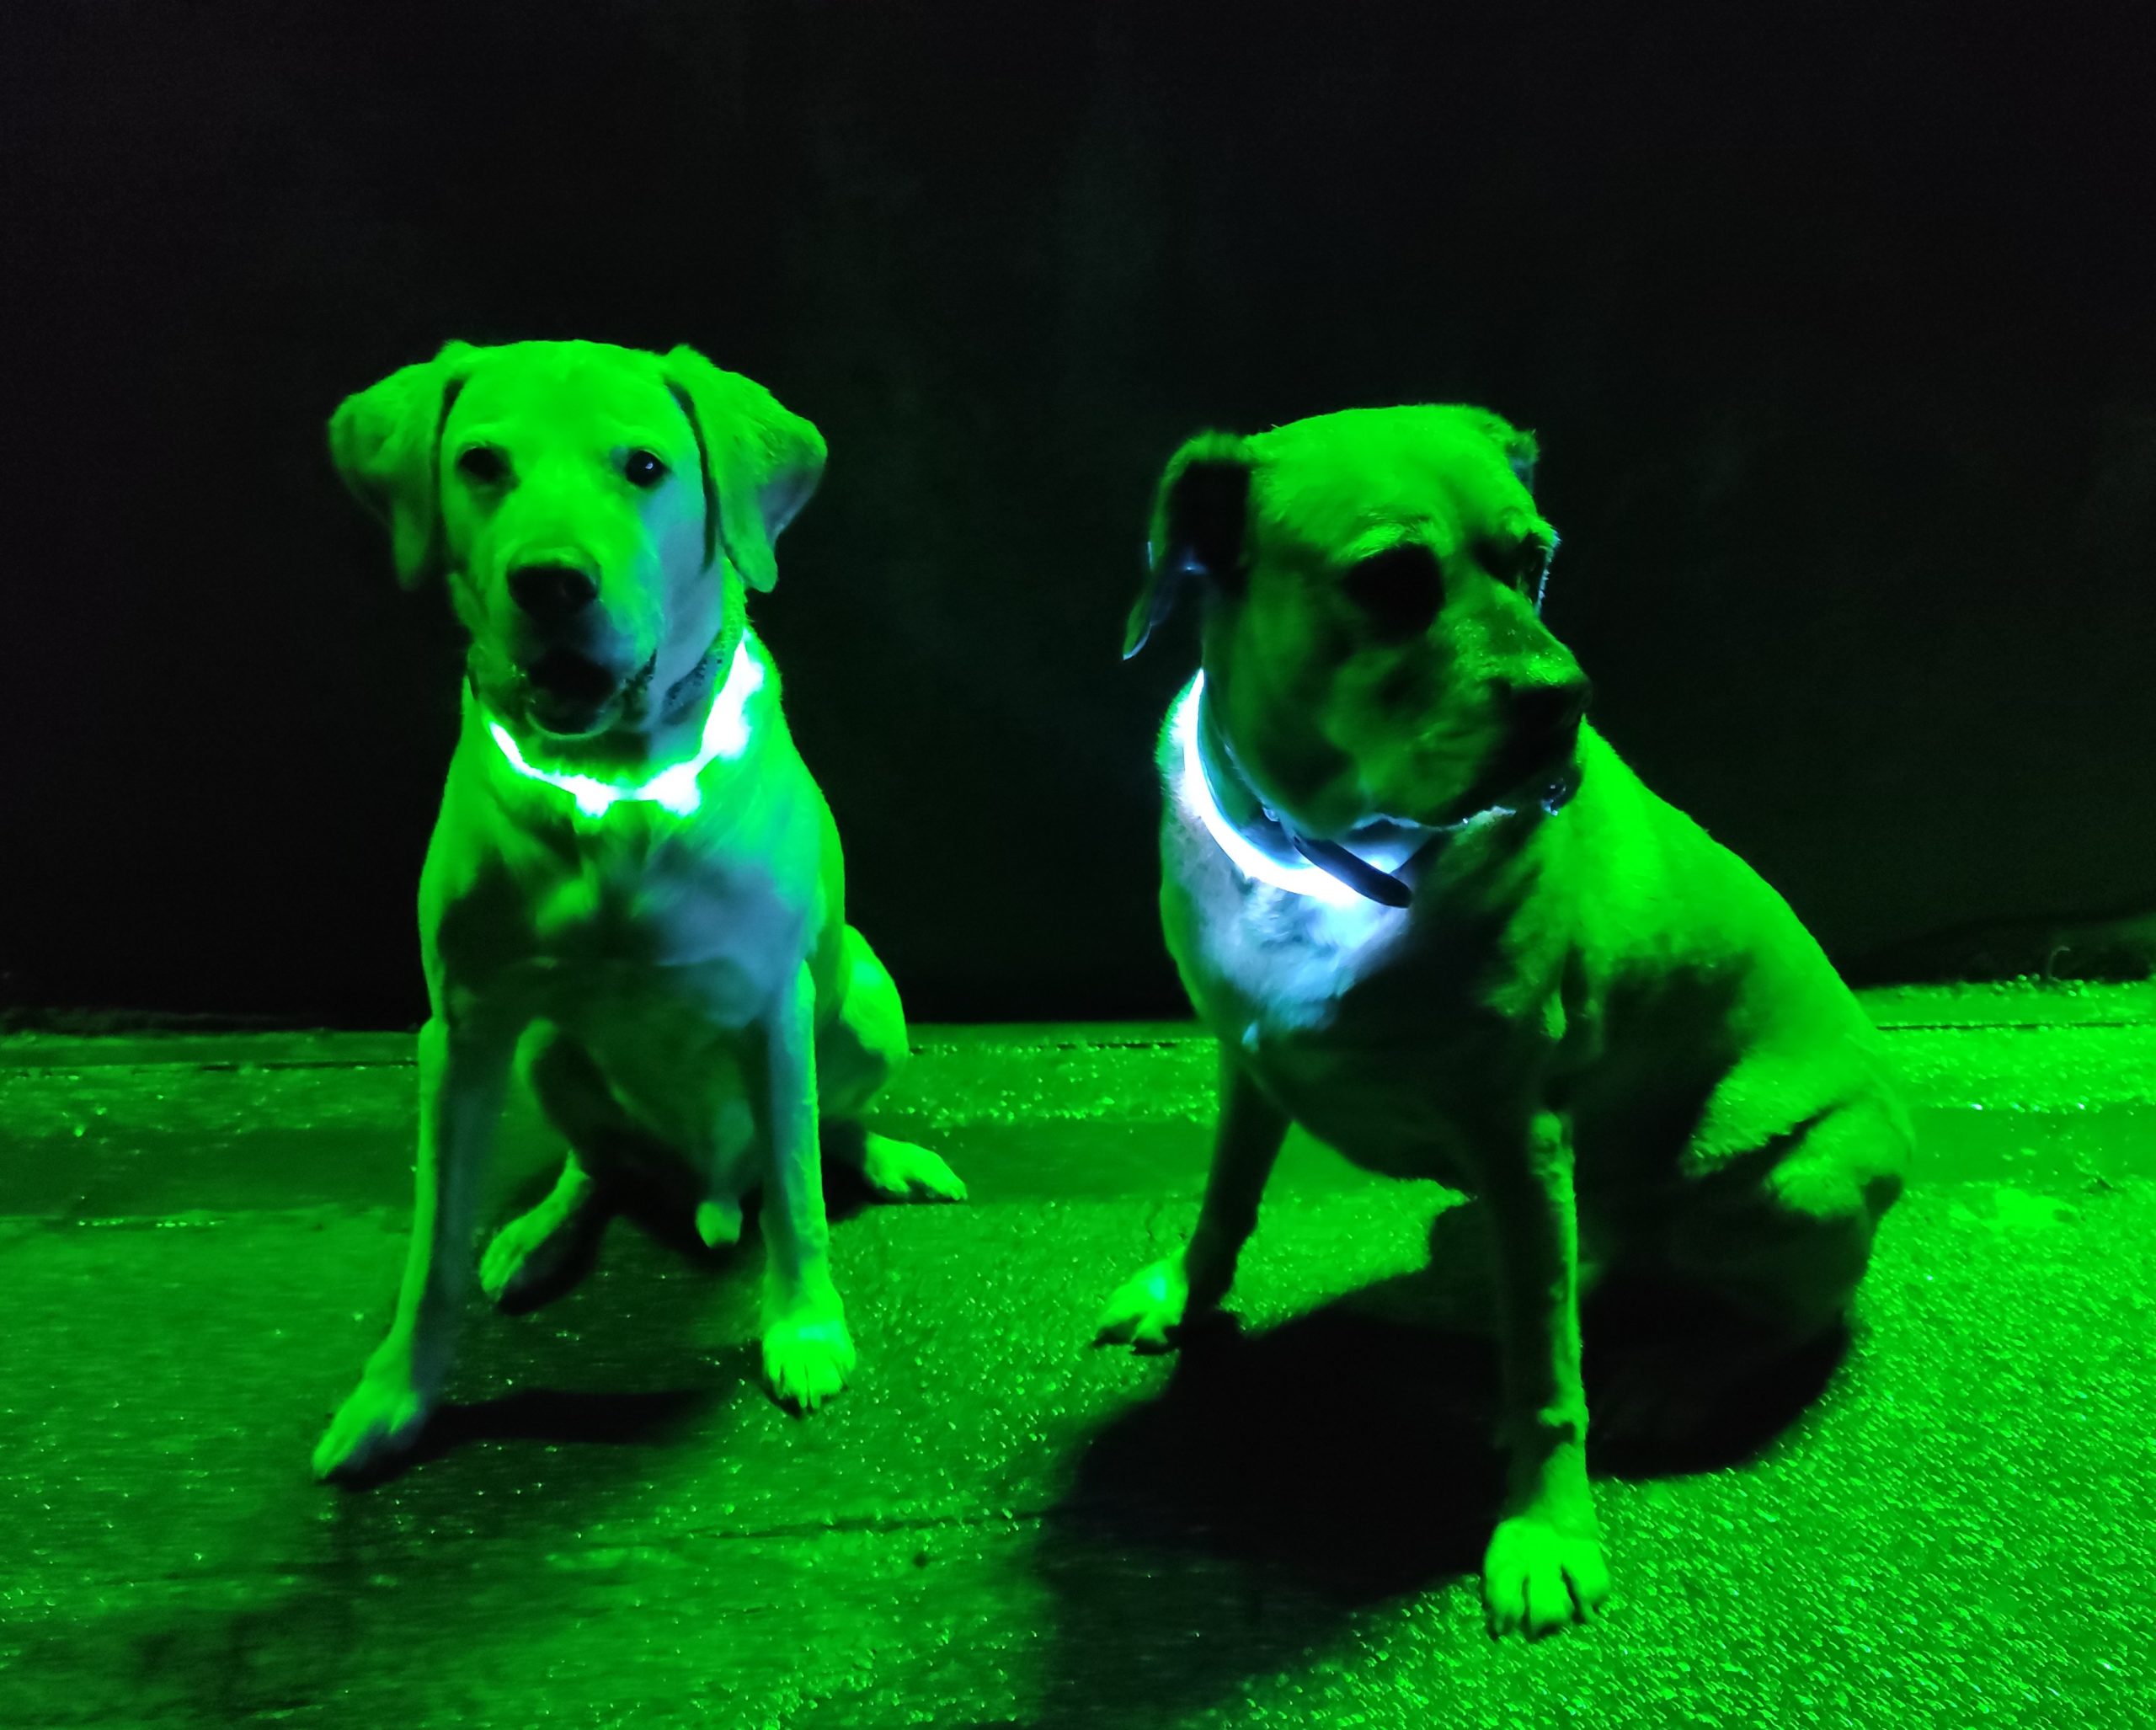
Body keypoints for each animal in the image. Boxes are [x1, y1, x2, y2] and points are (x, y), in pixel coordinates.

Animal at [313, 339, 964, 1482]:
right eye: (481, 463)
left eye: (646, 468)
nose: (552, 581)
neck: (612, 785)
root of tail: (707, 1178)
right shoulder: (463, 1029)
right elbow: (433, 1245)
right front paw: (395, 1394)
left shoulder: (774, 1013)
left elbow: (799, 1196)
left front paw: (804, 1325)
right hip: (543, 1052)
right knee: (599, 1161)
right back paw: (541, 1230)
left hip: (867, 1000)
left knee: (819, 1138)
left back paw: (881, 1156)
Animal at [1097, 406, 1910, 1637]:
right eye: (1391, 579)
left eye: (1535, 561)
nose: (1566, 699)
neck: (1326, 858)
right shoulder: (1247, 1064)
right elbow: (1222, 1204)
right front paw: (1183, 1297)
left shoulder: (1519, 1138)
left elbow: (1542, 1375)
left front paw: (1546, 1528)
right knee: (1570, 1275)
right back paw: (1446, 1289)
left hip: (1787, 1188)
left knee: (1780, 1318)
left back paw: (1673, 1376)